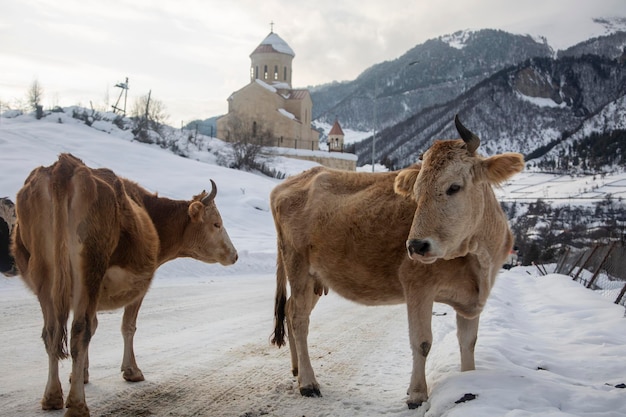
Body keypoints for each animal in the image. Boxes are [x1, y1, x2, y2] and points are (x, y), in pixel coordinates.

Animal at [12, 154, 236, 416]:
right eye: (216, 224)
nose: (234, 255)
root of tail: (65, 165)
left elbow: (93, 325)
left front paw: (82, 374)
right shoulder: (139, 287)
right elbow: (127, 326)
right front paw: (132, 370)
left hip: (45, 275)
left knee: (52, 333)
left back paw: (52, 397)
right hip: (89, 269)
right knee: (78, 331)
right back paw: (77, 404)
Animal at [270, 115, 524, 408]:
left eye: (454, 187)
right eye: (417, 192)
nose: (416, 246)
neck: (479, 259)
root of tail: (290, 182)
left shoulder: (471, 297)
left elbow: (468, 342)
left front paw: (469, 381)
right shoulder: (417, 286)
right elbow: (422, 342)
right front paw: (417, 394)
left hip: (315, 277)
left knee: (290, 310)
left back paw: (297, 370)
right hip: (297, 265)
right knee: (299, 318)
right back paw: (308, 383)